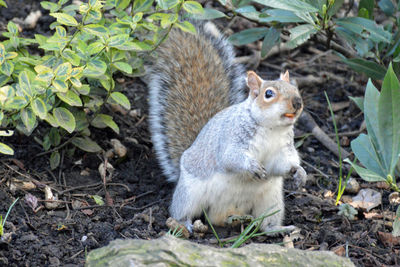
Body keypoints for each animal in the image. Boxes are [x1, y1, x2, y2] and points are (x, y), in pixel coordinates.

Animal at [147, 22, 306, 233]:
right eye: (268, 94)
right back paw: (184, 223)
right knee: (182, 210)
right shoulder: (232, 136)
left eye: (296, 89)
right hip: (190, 193)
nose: (297, 102)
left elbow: (282, 164)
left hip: (271, 201)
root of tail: (225, 209)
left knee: (264, 223)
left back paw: (277, 229)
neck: (271, 129)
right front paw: (252, 165)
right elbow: (230, 157)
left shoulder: (282, 149)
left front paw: (299, 172)